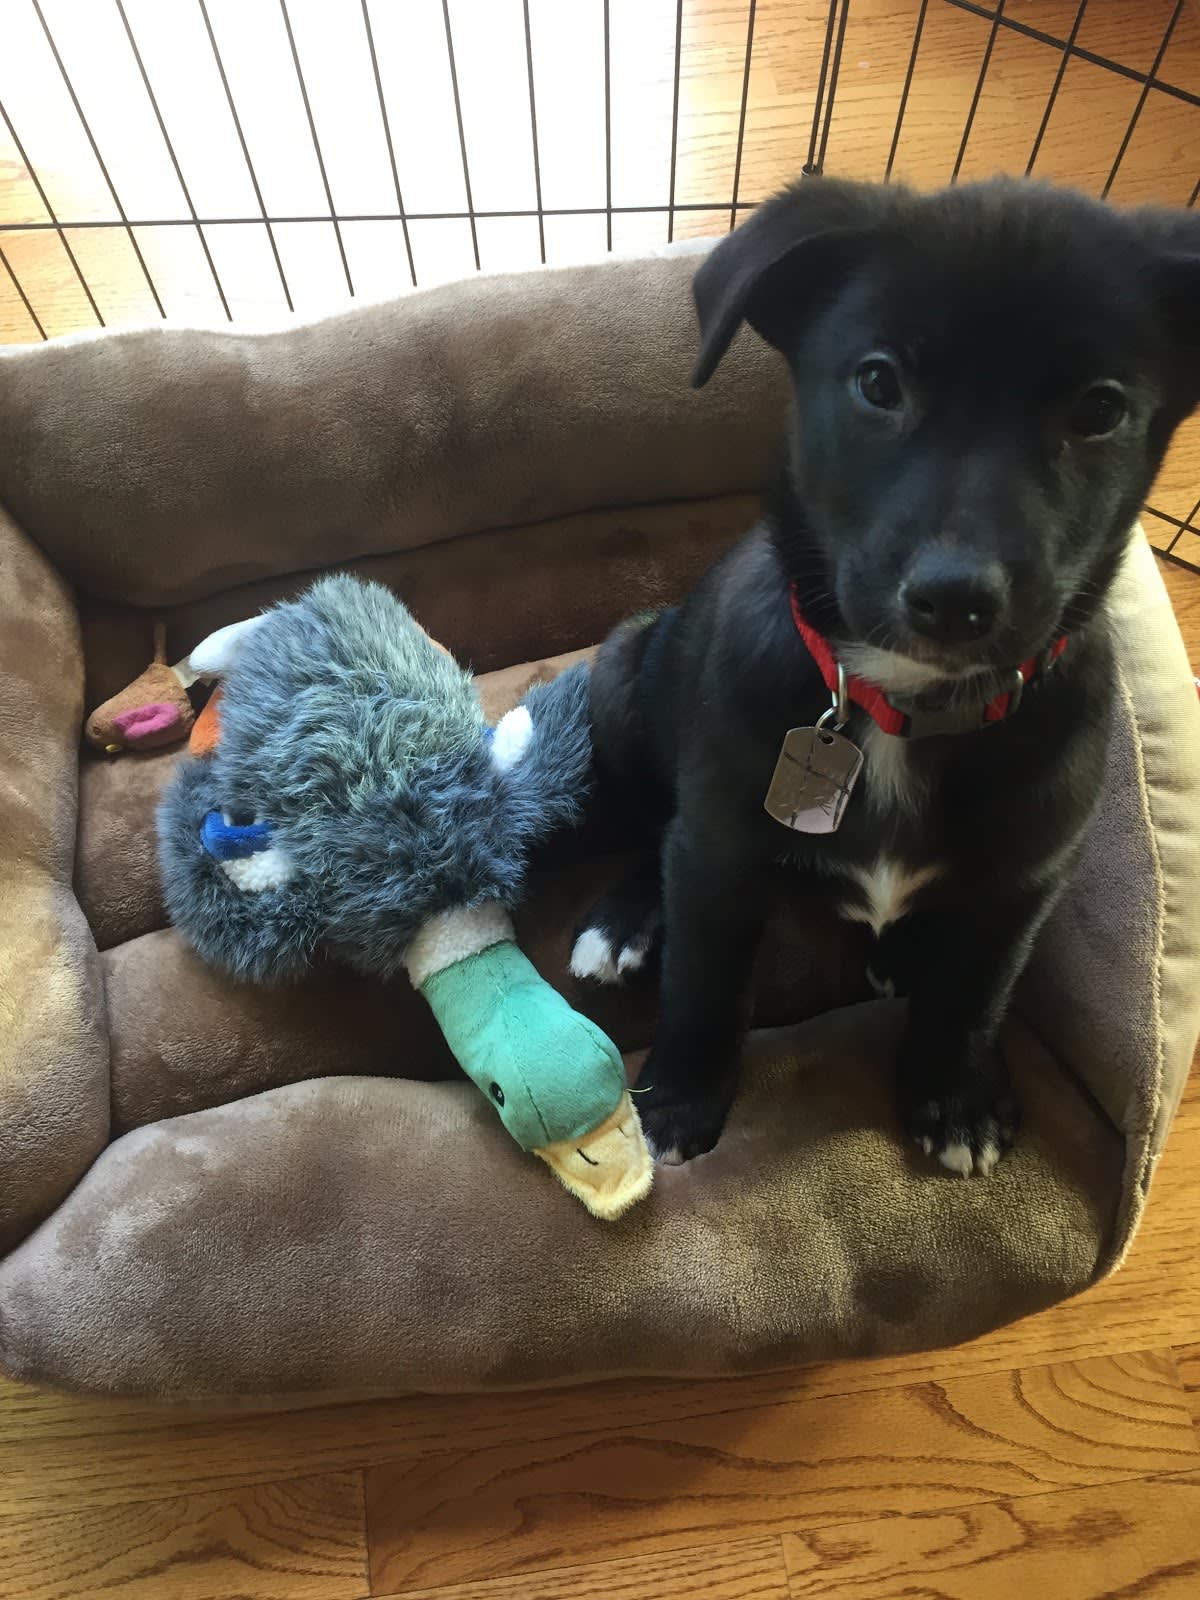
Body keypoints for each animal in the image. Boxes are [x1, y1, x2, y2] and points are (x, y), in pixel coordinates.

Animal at [569, 175, 1200, 1177]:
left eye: (1099, 410)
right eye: (877, 383)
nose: (953, 598)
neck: (903, 703)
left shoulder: (1024, 881)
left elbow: (975, 993)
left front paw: (955, 1097)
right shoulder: (716, 853)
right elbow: (703, 982)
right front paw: (678, 1098)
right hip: (625, 677)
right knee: (647, 828)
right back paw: (626, 919)